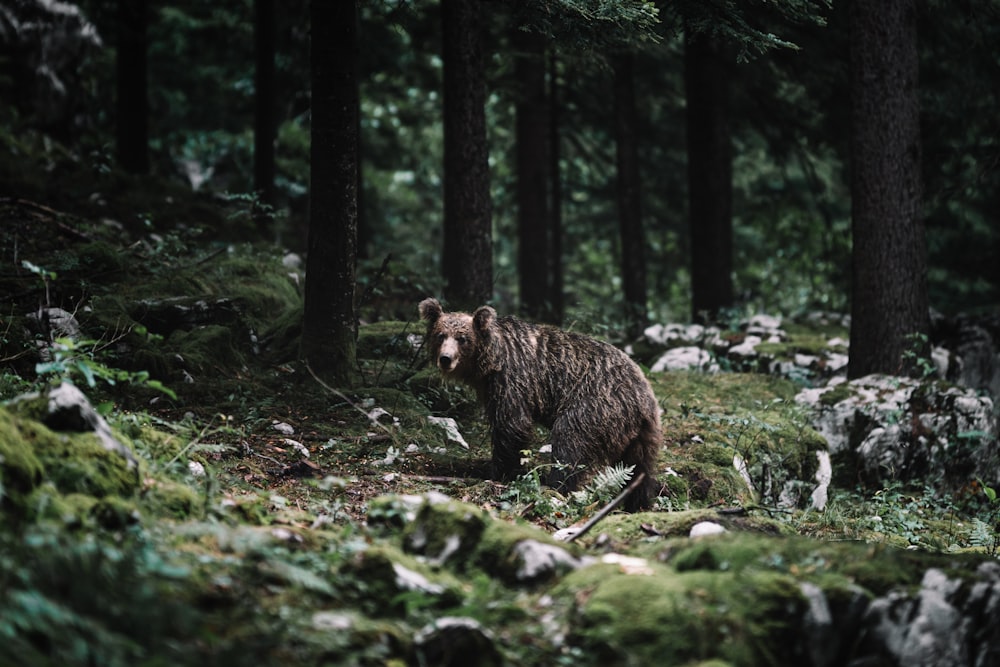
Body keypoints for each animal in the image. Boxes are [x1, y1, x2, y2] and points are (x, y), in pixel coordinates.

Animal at [416, 298, 660, 512]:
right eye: (440, 335)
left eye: (462, 338)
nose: (445, 358)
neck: (489, 363)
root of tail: (643, 396)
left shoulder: (512, 380)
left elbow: (512, 425)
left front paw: (500, 471)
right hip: (643, 433)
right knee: (639, 467)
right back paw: (637, 502)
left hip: (594, 404)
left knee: (569, 441)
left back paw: (555, 485)